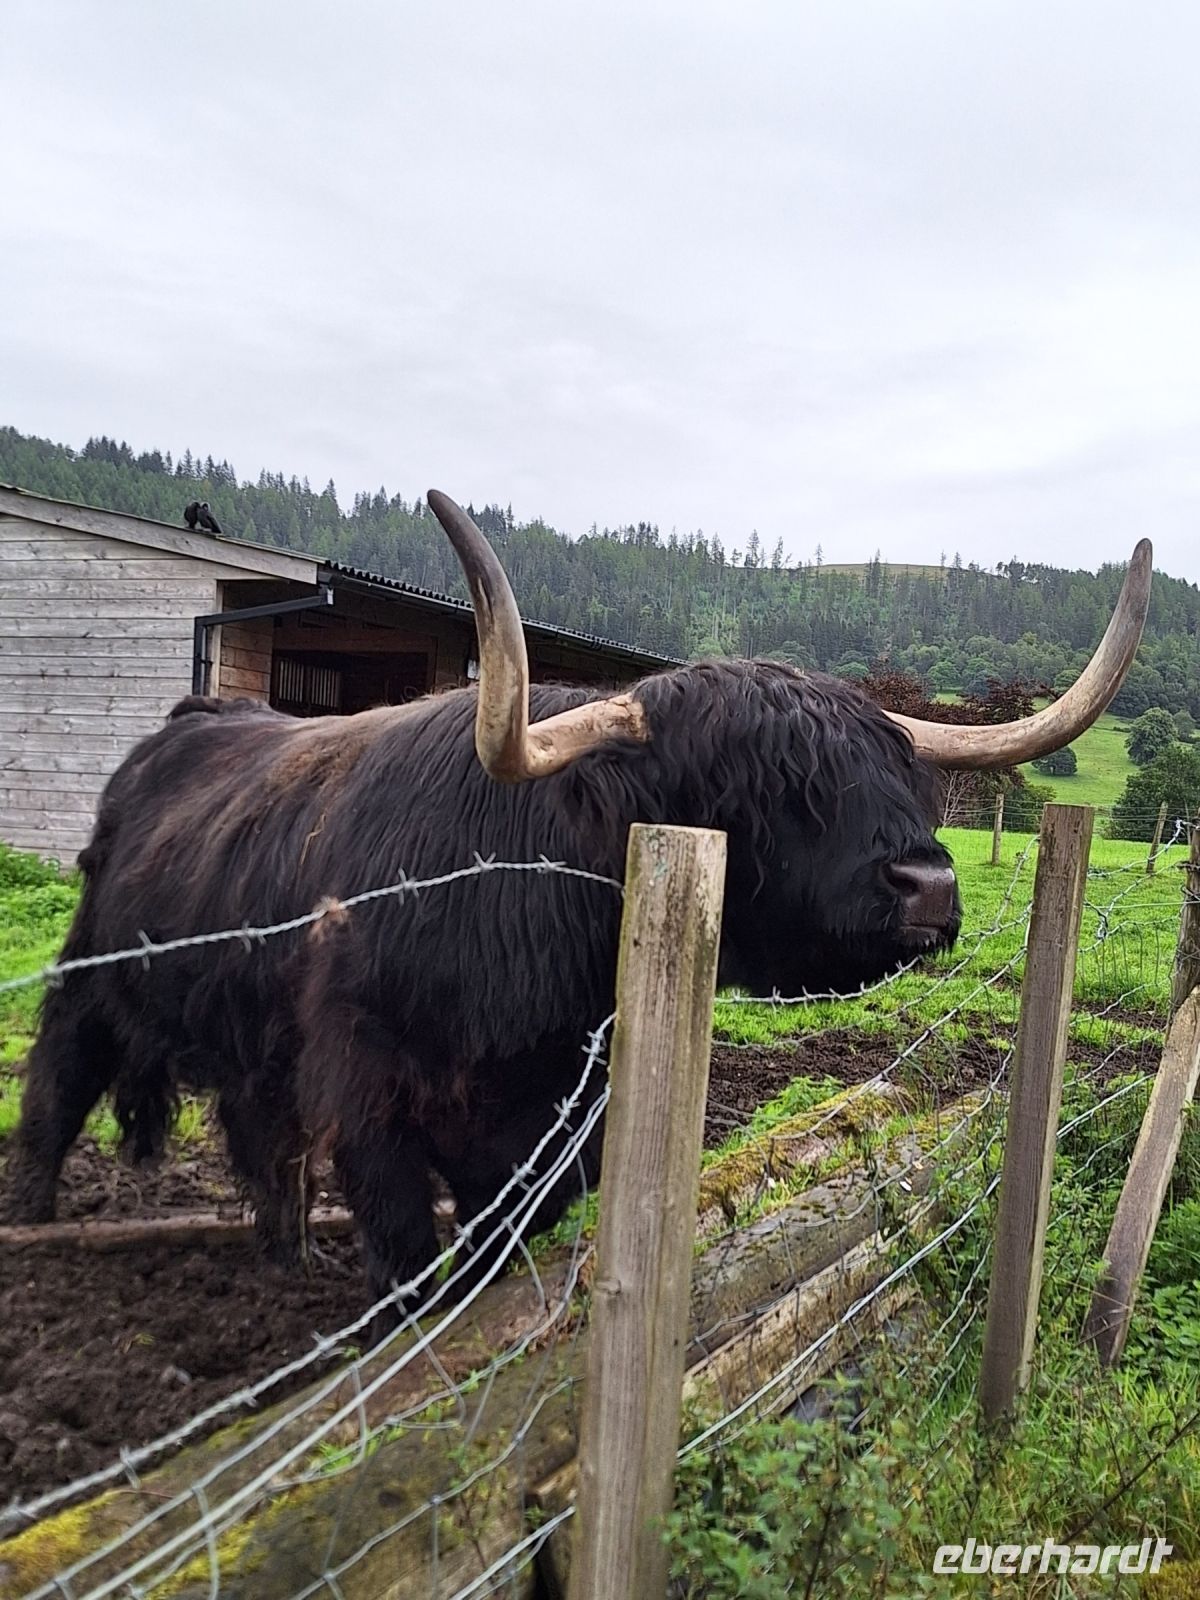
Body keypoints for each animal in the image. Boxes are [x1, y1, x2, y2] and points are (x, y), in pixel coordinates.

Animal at [2, 495, 1151, 1310]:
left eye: (898, 776)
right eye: (752, 785)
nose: (931, 885)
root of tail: (189, 721)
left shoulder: (557, 1120)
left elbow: (499, 1256)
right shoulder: (372, 1098)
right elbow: (411, 1261)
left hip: (253, 1030)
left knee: (256, 1133)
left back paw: (284, 1263)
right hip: (91, 973)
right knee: (58, 1082)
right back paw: (34, 1227)